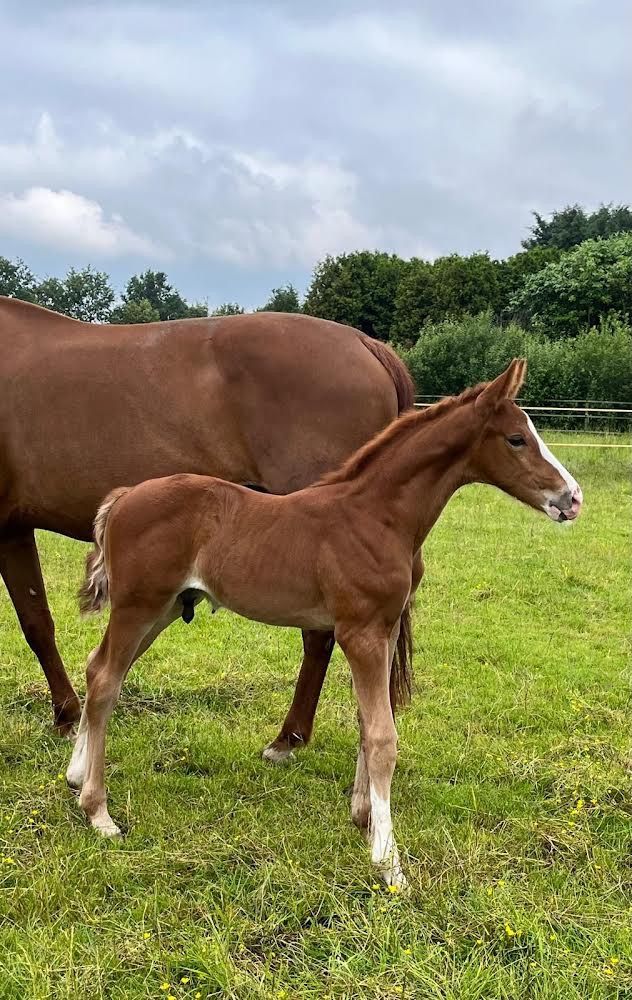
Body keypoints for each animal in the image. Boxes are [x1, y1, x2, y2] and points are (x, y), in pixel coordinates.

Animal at [0, 296, 415, 745]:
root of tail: (363, 343)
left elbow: (35, 624)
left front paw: (66, 714)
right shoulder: (14, 530)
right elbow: (37, 622)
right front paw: (68, 713)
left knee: (318, 636)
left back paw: (290, 735)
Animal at [67, 359, 581, 885]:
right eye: (517, 438)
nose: (573, 498)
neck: (376, 517)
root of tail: (124, 496)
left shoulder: (384, 630)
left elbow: (367, 719)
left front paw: (363, 815)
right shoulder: (360, 633)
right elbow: (382, 736)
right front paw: (388, 859)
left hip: (166, 607)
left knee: (97, 667)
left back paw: (75, 775)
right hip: (139, 606)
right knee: (106, 679)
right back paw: (99, 812)